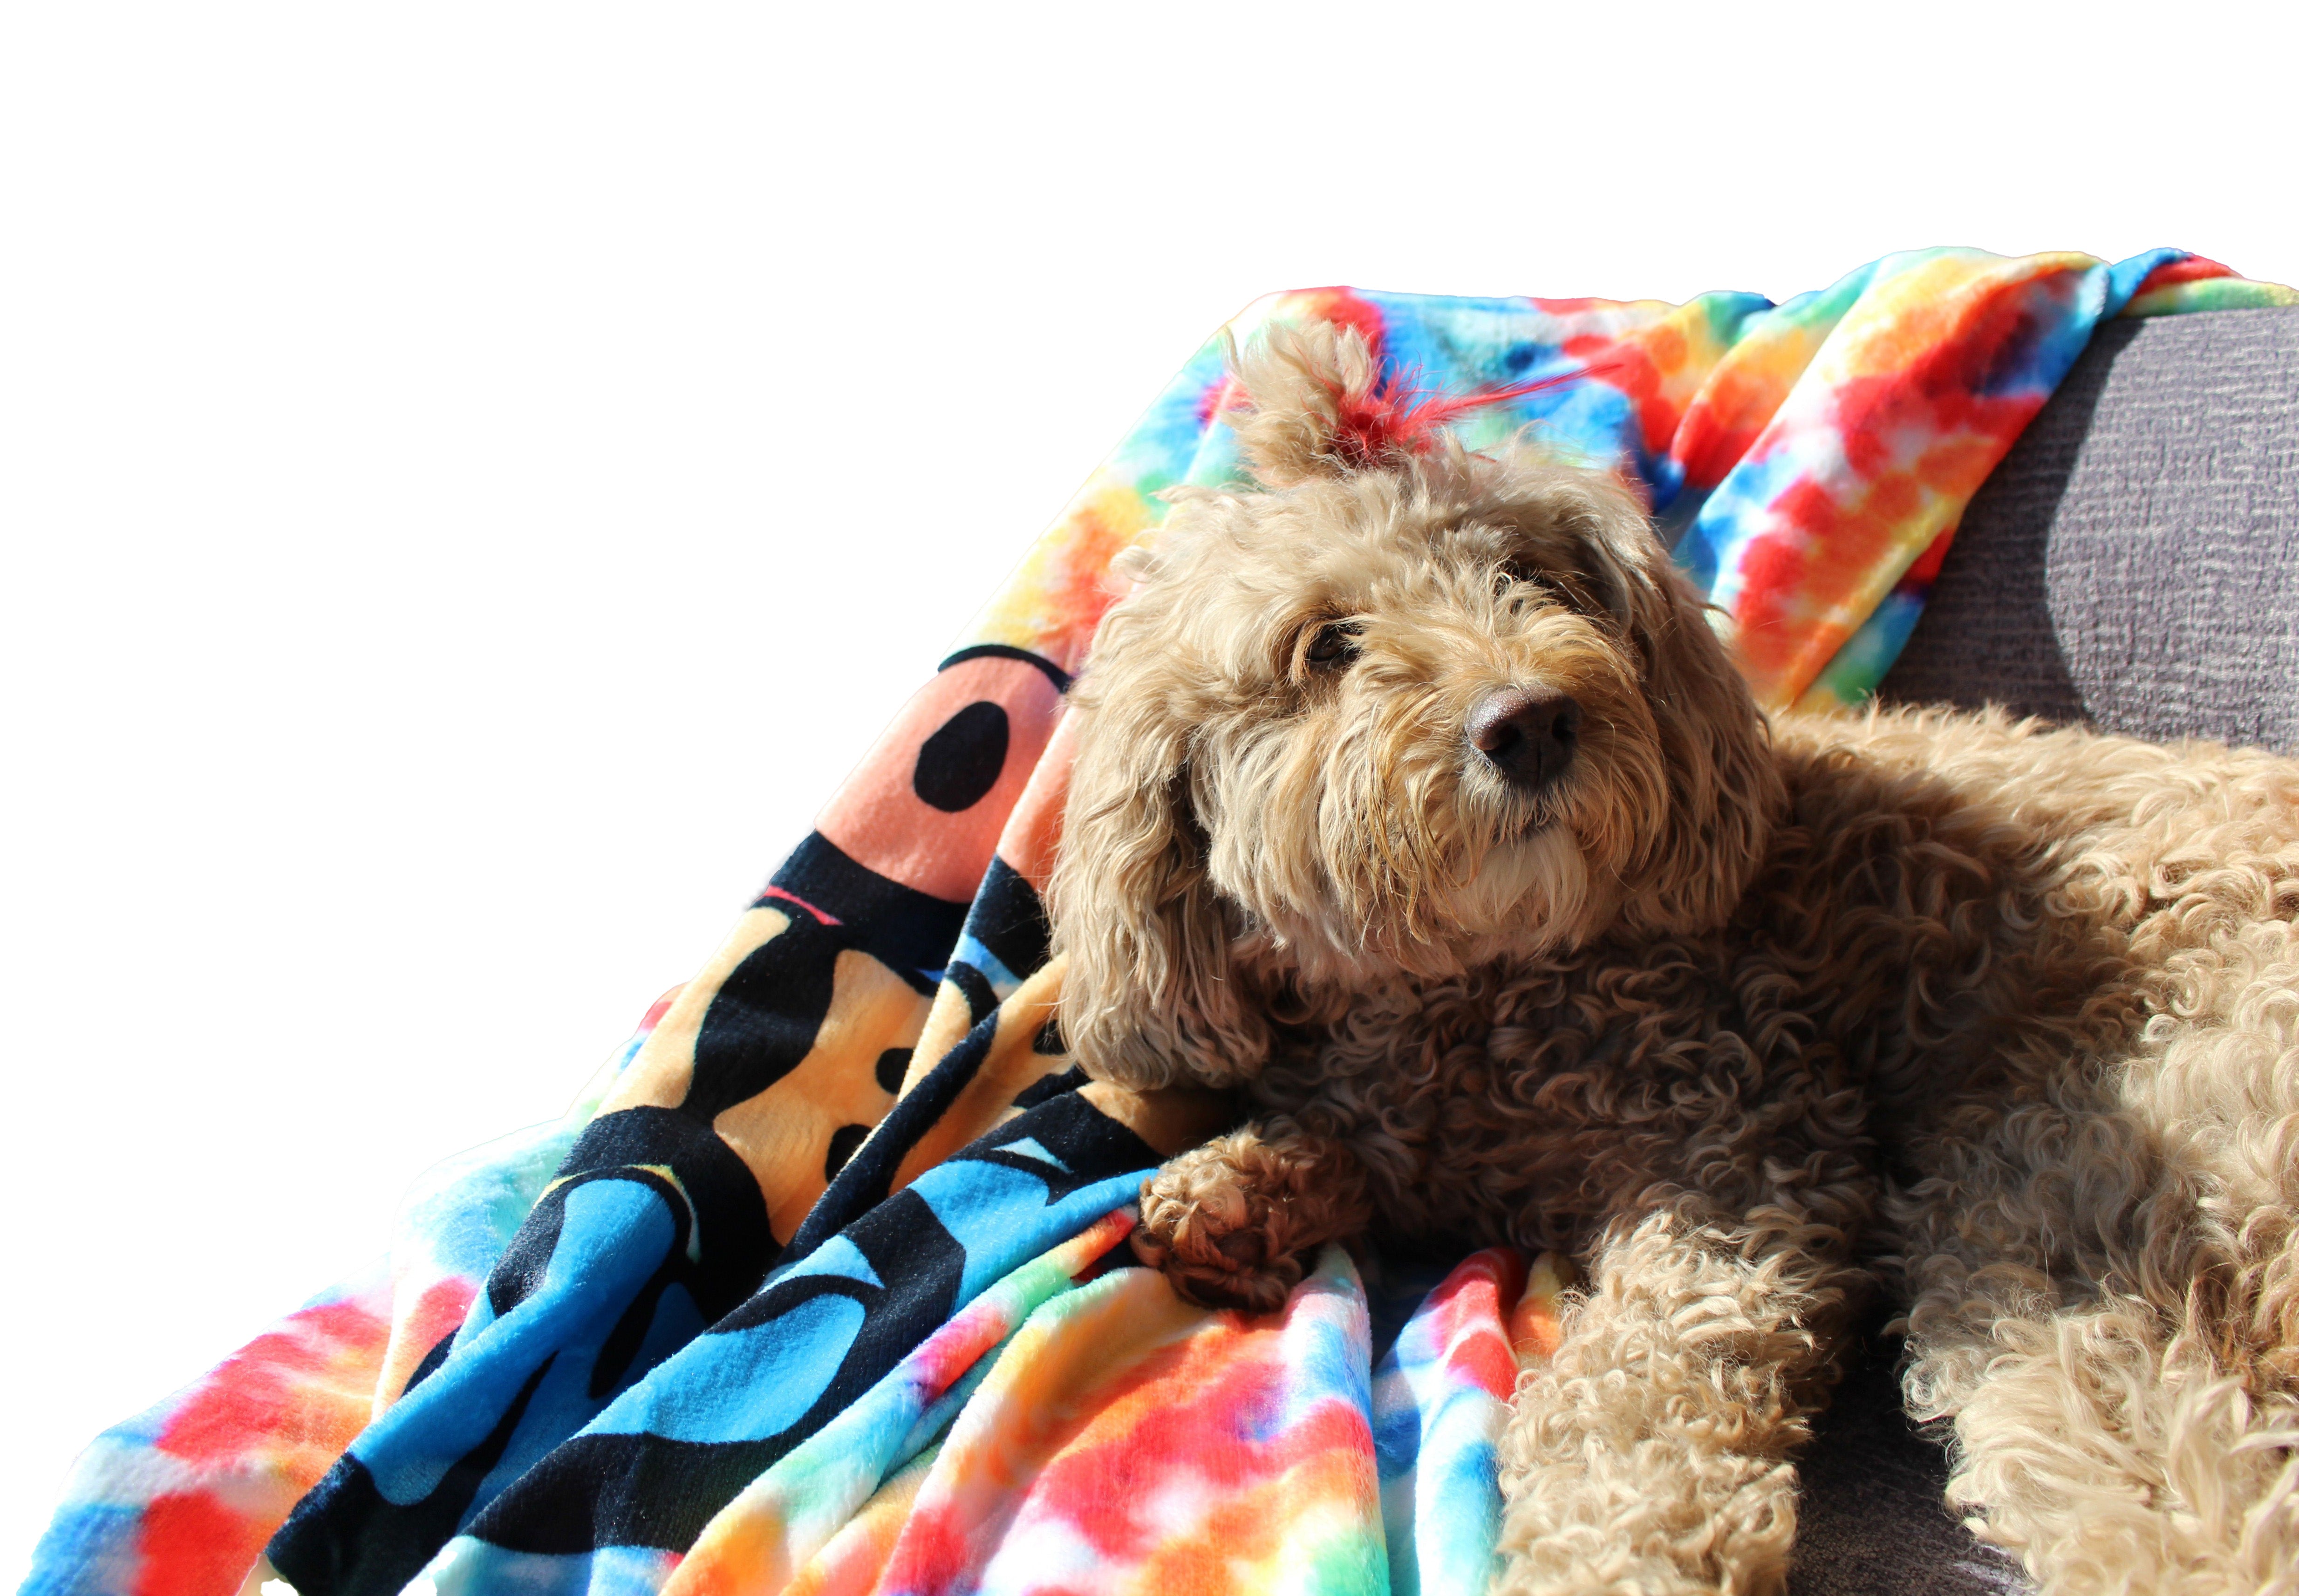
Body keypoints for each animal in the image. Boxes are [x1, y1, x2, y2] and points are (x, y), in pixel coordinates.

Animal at [1053, 322, 2299, 1596]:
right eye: (1328, 644)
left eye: (1535, 580)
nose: (1531, 721)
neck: (1477, 981)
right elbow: (1356, 1143)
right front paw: (1232, 1190)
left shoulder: (1752, 1142)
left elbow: (1643, 1396)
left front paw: (1618, 1557)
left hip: (2043, 1191)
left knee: (2176, 1476)